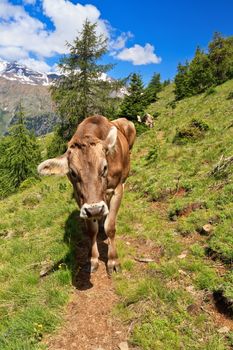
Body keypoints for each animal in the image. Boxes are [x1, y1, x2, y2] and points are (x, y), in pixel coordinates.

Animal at [37, 116, 137, 274]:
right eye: (72, 173)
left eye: (105, 167)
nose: (95, 209)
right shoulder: (80, 199)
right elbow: (91, 230)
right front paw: (93, 260)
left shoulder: (117, 190)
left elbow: (110, 227)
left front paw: (113, 261)